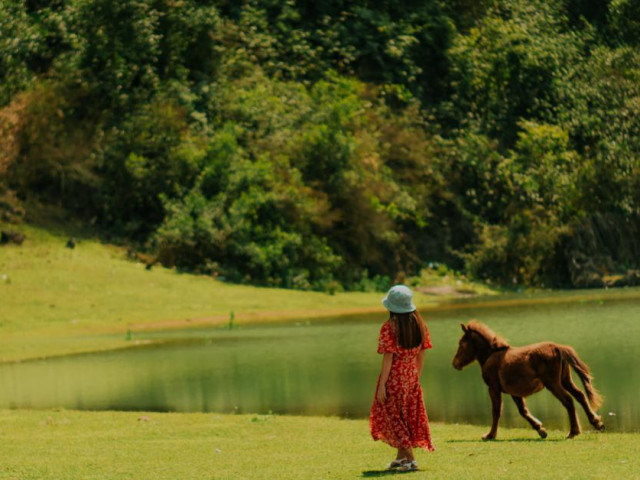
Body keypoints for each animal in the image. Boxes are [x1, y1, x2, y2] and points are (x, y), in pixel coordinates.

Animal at [452, 320, 604, 440]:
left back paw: (573, 432)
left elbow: (496, 411)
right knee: (580, 395)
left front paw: (490, 435)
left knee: (568, 401)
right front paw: (541, 430)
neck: (491, 355)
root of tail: (557, 347)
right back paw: (597, 423)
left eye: (461, 344)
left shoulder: (493, 388)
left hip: (553, 383)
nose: (454, 363)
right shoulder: (514, 392)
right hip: (565, 380)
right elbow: (523, 411)